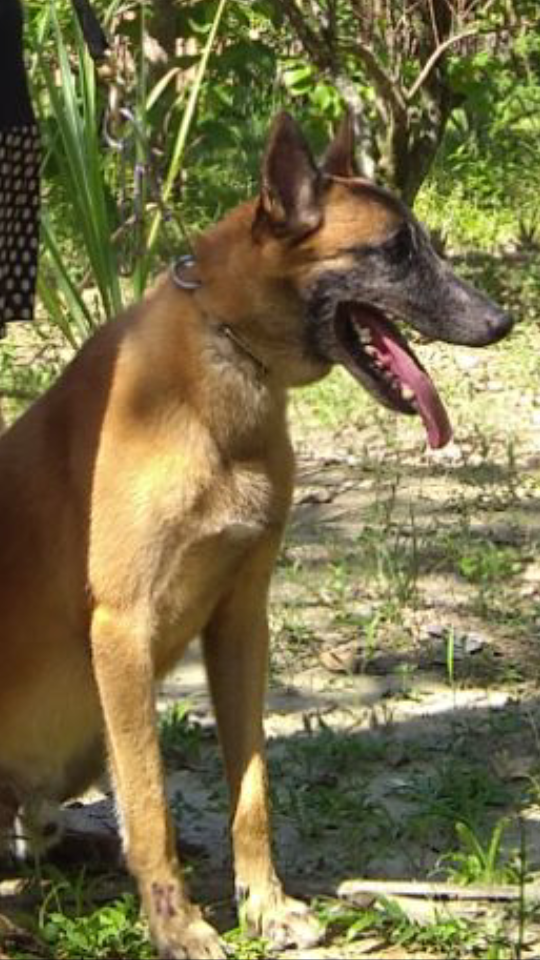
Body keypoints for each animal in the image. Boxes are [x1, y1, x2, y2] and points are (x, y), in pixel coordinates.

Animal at [0, 113, 512, 958]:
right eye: (394, 250)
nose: (505, 320)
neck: (226, 362)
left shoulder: (241, 621)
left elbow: (251, 790)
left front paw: (265, 905)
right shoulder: (122, 632)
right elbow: (151, 804)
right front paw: (177, 924)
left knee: (32, 829)